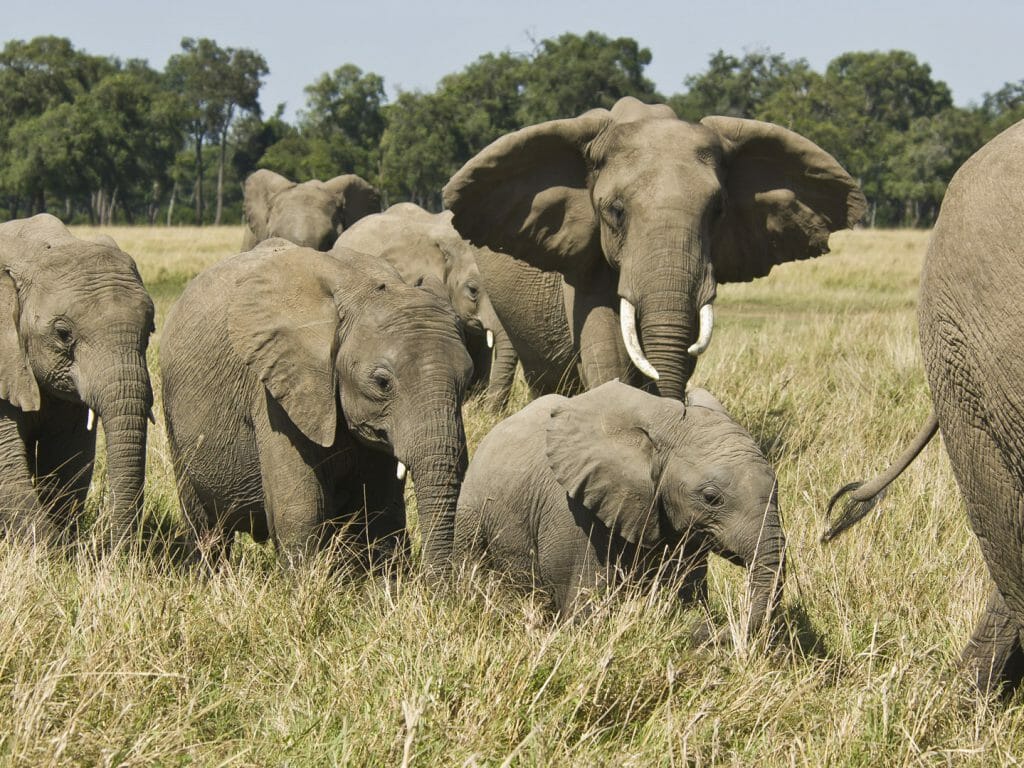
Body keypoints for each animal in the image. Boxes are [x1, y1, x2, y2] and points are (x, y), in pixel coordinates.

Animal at [0, 214, 155, 546]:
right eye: (62, 334)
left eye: (150, 330)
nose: (114, 550)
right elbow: (7, 469)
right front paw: (57, 551)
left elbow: (68, 464)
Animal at [159, 238, 473, 570]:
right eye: (382, 383)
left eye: (467, 380)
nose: (439, 581)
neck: (361, 291)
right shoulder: (277, 390)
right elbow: (302, 509)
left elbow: (379, 509)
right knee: (204, 525)